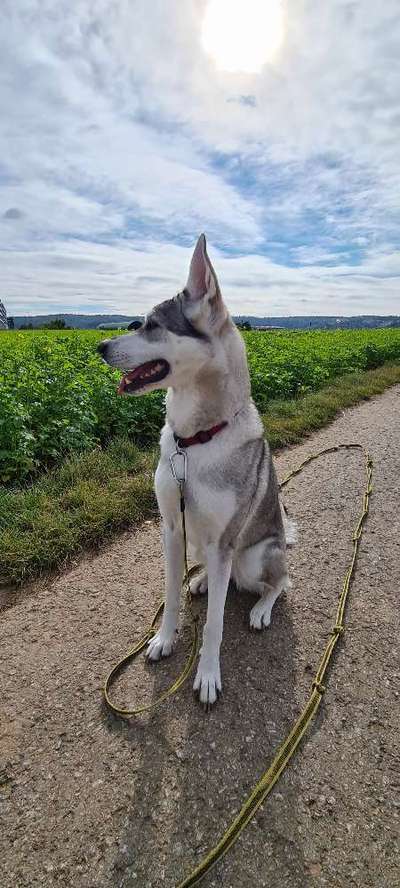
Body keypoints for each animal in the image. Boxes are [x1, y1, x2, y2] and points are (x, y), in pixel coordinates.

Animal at [98, 234, 296, 708]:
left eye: (151, 325)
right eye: (137, 322)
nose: (99, 347)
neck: (194, 441)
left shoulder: (224, 542)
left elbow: (214, 625)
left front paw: (206, 675)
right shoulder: (171, 528)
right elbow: (170, 597)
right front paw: (164, 640)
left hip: (254, 556)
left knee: (280, 582)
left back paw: (260, 609)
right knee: (215, 577)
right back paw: (203, 581)